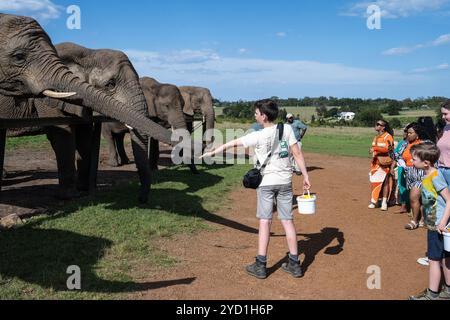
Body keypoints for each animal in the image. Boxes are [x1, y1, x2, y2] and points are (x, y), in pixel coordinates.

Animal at [0, 14, 174, 202]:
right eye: (110, 84)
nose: (141, 199)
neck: (88, 53)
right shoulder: (46, 99)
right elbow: (62, 134)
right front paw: (69, 196)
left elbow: (84, 135)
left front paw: (83, 189)